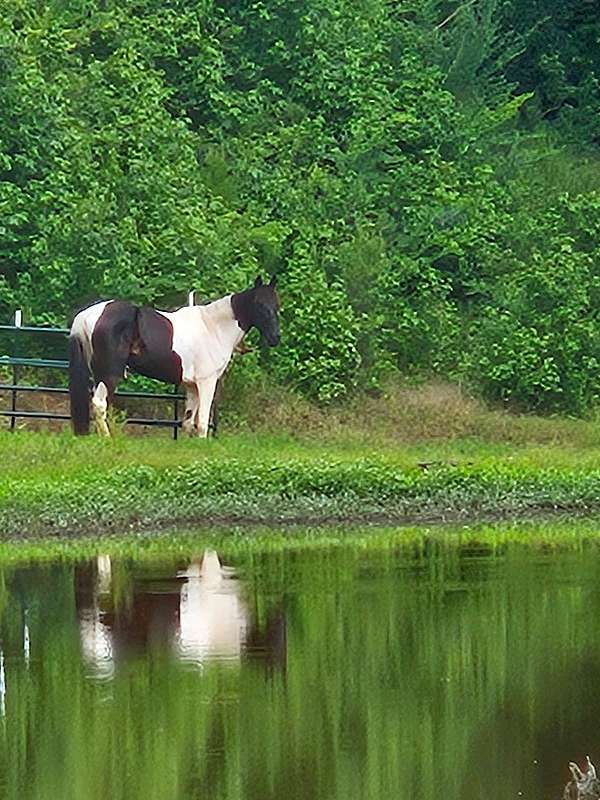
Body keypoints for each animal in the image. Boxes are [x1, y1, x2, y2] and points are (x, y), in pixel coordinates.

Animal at [68, 275, 280, 437]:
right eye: (259, 304)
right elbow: (202, 423)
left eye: (276, 304)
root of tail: (86, 316)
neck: (213, 327)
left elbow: (188, 422)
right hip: (109, 374)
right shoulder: (207, 382)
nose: (275, 338)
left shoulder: (192, 386)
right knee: (99, 404)